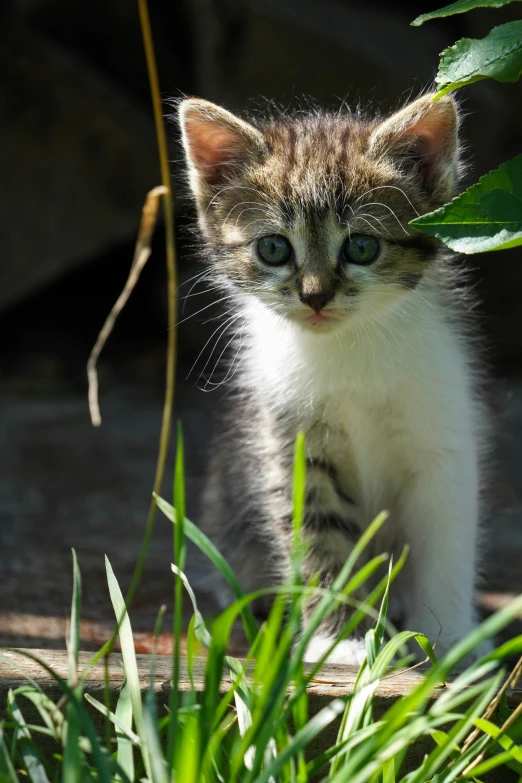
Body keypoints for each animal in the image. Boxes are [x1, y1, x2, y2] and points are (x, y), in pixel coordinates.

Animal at [178, 95, 488, 664]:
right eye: (274, 249)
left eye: (361, 247)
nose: (316, 296)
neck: (348, 348)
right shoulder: (291, 438)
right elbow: (316, 533)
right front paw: (337, 641)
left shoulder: (442, 432)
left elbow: (447, 538)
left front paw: (450, 636)